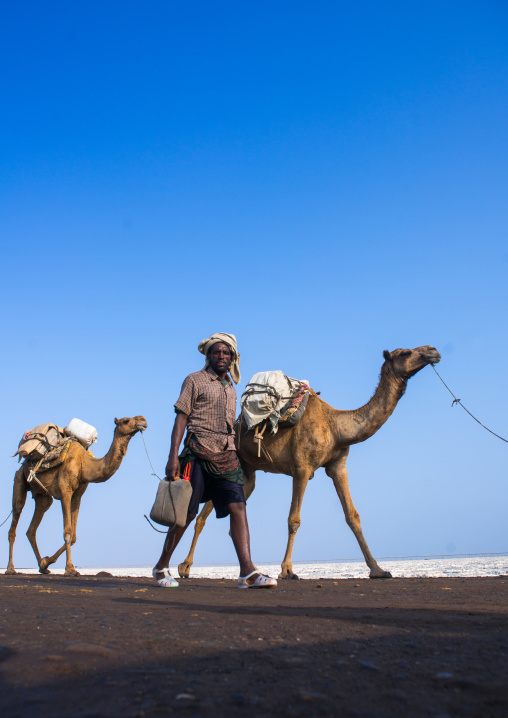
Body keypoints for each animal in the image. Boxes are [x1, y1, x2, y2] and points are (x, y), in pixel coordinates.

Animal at [6, 416, 147, 576]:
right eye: (125, 421)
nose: (143, 420)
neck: (84, 464)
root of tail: (23, 464)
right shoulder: (65, 491)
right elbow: (67, 532)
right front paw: (70, 569)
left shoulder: (78, 495)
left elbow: (73, 536)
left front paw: (46, 561)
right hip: (19, 480)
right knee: (15, 519)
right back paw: (10, 568)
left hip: (43, 497)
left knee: (31, 530)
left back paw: (42, 566)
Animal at [177, 346, 441, 580]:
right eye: (406, 352)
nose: (433, 351)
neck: (337, 427)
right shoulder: (302, 469)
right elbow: (294, 519)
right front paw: (286, 570)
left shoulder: (338, 466)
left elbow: (353, 516)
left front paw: (378, 570)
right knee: (203, 516)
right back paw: (184, 567)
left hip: (247, 473)